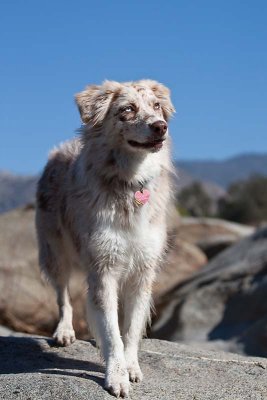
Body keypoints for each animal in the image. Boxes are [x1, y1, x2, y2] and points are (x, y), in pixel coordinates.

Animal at [36, 79, 176, 396]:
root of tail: (60, 149)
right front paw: (117, 376)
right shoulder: (103, 268)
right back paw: (64, 331)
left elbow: (131, 328)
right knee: (63, 295)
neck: (130, 183)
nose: (160, 126)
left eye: (157, 106)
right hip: (54, 251)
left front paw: (131, 366)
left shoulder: (143, 271)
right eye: (128, 109)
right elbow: (112, 331)